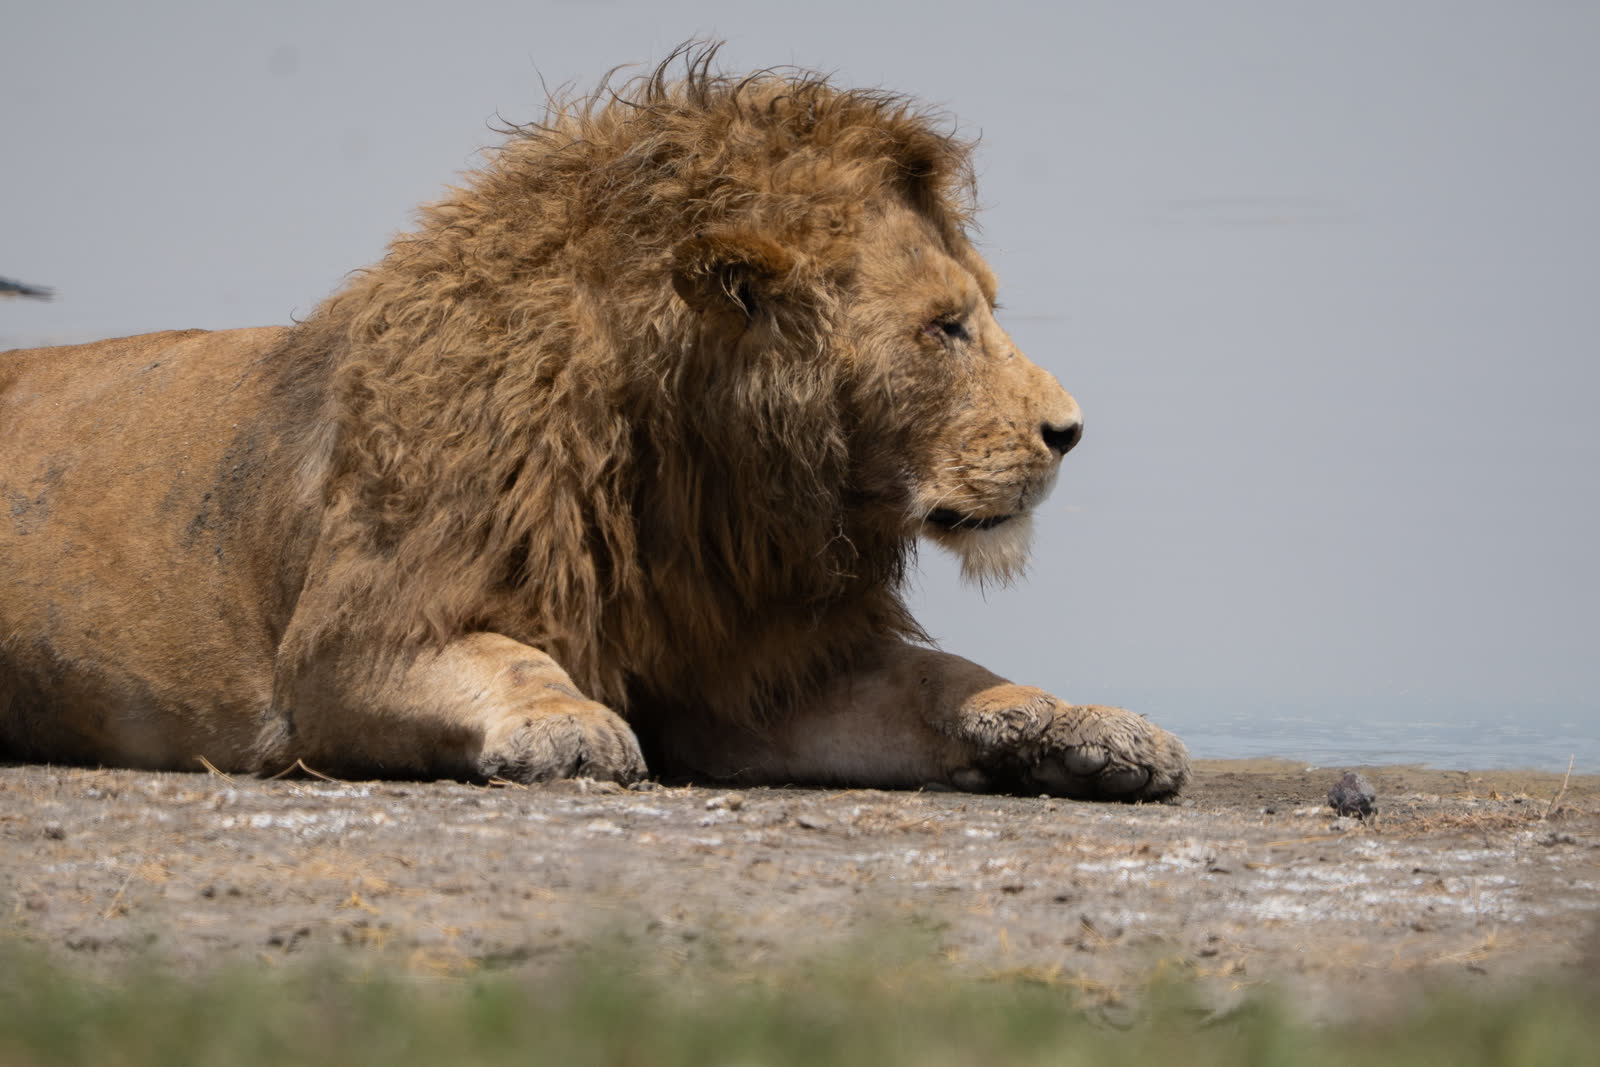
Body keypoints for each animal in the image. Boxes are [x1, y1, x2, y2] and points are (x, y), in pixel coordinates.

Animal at [0, 48, 1189, 800]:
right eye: (945, 327)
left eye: (981, 308)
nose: (1072, 431)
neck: (695, 476)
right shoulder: (346, 645)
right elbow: (508, 654)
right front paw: (568, 725)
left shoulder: (760, 667)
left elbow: (948, 681)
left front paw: (1087, 728)